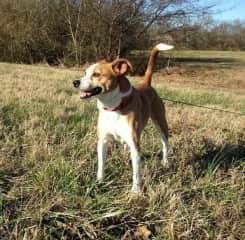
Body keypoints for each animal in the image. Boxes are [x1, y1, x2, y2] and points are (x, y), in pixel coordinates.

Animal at [73, 43, 174, 192]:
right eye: (85, 73)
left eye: (96, 74)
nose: (75, 82)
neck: (113, 108)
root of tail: (146, 84)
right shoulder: (102, 141)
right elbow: (101, 165)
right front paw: (99, 182)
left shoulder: (135, 144)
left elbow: (136, 172)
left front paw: (136, 191)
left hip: (161, 123)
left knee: (165, 144)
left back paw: (166, 163)